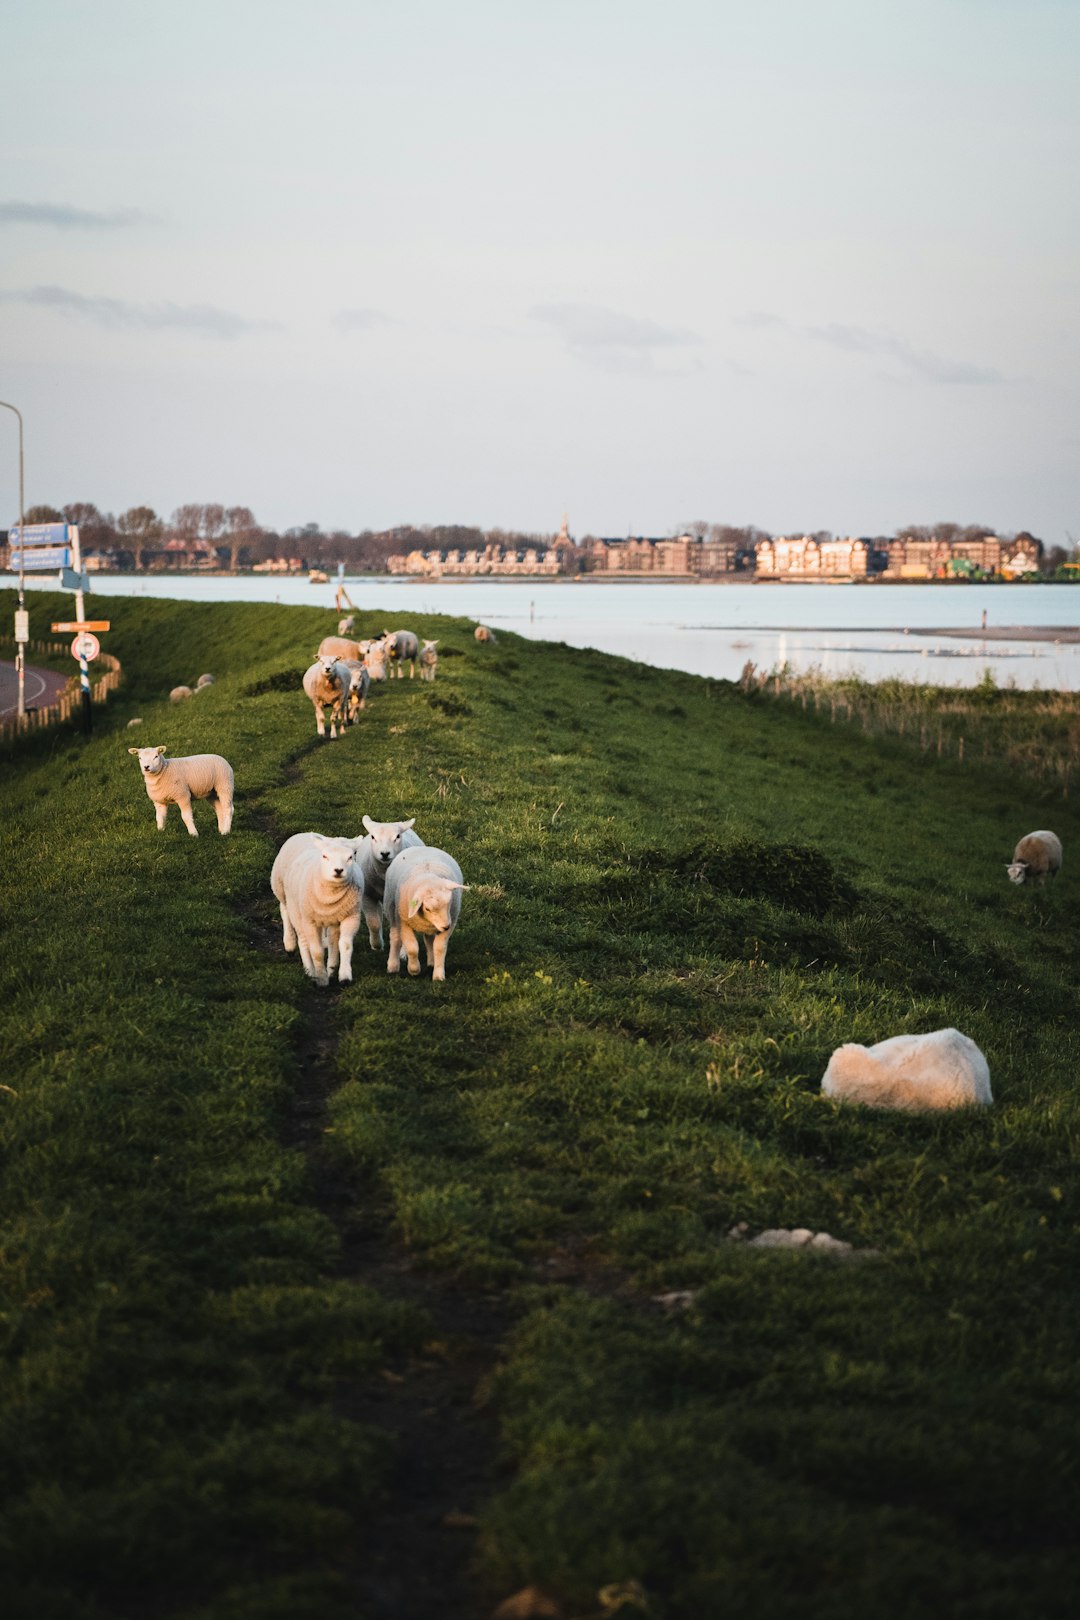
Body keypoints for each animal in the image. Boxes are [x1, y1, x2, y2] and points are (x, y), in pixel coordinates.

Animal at [268, 835, 365, 984]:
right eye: (324, 856)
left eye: (350, 856)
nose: (338, 870)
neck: (330, 896)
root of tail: (304, 833)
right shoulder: (310, 921)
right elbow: (317, 952)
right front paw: (321, 979)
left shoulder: (351, 916)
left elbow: (345, 945)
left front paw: (344, 976)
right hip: (284, 894)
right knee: (291, 922)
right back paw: (298, 955)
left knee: (331, 940)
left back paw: (330, 969)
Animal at [354, 810, 420, 946]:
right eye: (373, 837)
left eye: (397, 837)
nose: (385, 853)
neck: (384, 875)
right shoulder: (367, 896)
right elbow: (374, 923)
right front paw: (377, 944)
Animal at [380, 842, 466, 978]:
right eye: (427, 908)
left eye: (449, 902)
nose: (445, 926)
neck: (429, 879)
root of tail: (422, 847)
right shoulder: (403, 921)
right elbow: (412, 947)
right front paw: (414, 970)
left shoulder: (450, 922)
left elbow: (439, 948)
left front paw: (438, 975)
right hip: (391, 909)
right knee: (395, 937)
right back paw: (393, 965)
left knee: (429, 939)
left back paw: (431, 962)